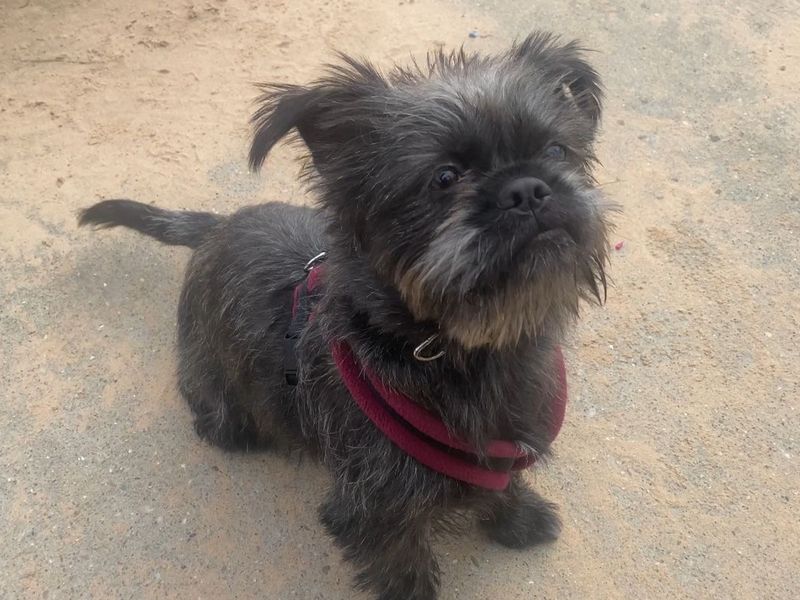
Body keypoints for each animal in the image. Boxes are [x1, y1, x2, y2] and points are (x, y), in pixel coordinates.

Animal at [79, 32, 612, 600]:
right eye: (444, 177)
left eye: (556, 151)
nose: (527, 188)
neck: (463, 349)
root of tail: (218, 227)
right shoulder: (375, 511)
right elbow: (404, 568)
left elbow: (502, 483)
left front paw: (518, 517)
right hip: (216, 385)